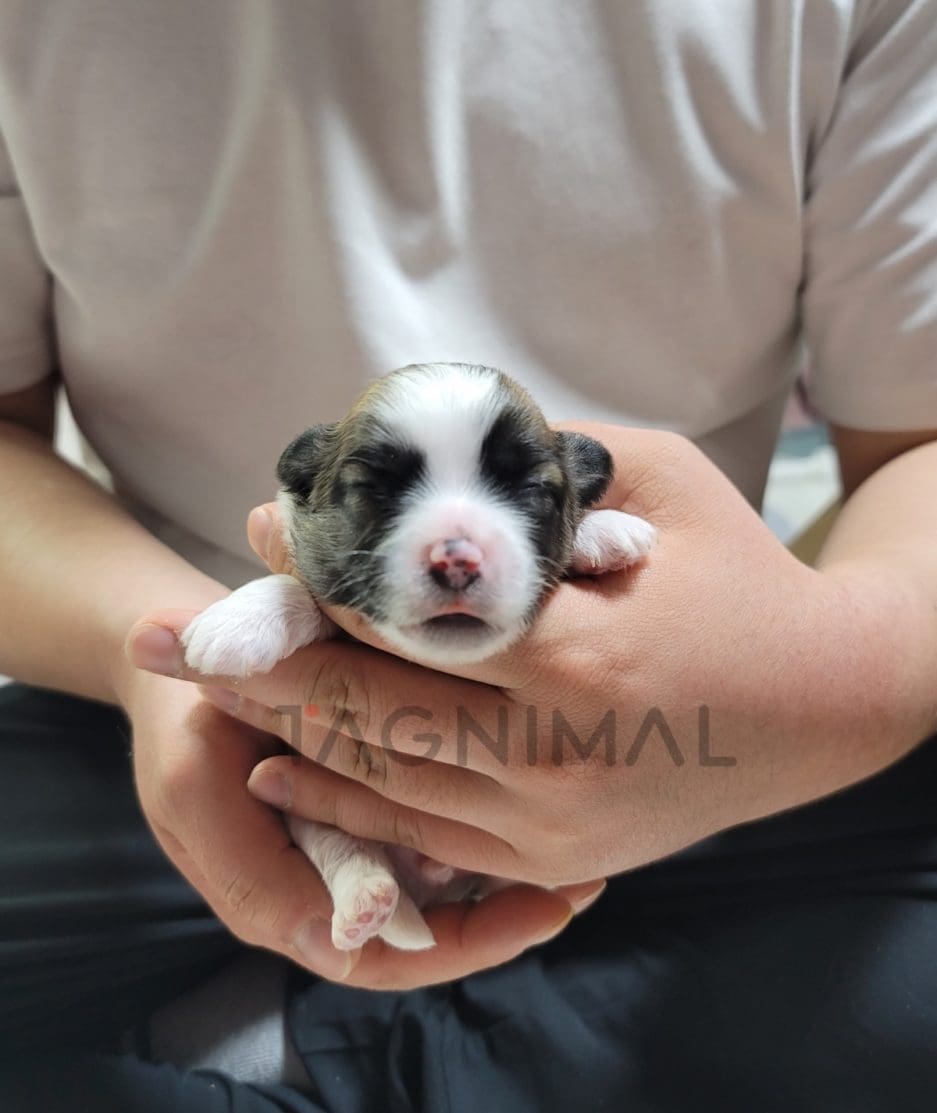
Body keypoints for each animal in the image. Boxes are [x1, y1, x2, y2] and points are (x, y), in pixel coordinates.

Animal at [180, 362, 649, 948]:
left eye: (534, 490)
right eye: (373, 490)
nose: (457, 559)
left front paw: (603, 531)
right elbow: (308, 591)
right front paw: (241, 617)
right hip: (295, 796)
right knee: (333, 839)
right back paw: (365, 899)